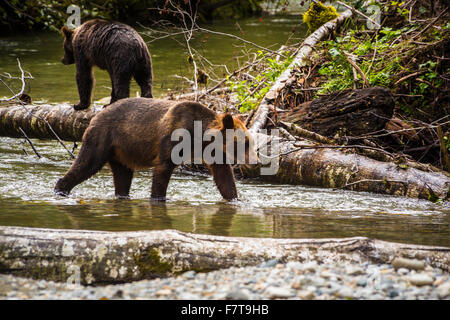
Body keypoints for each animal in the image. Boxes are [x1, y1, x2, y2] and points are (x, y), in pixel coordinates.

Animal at [54, 99, 258, 201]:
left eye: (251, 141)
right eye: (244, 143)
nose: (255, 163)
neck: (200, 140)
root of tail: (94, 116)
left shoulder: (214, 154)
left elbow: (224, 177)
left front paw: (235, 199)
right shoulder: (172, 140)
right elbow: (162, 172)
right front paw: (158, 198)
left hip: (121, 152)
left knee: (123, 177)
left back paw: (122, 195)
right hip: (103, 137)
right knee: (86, 163)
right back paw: (60, 189)